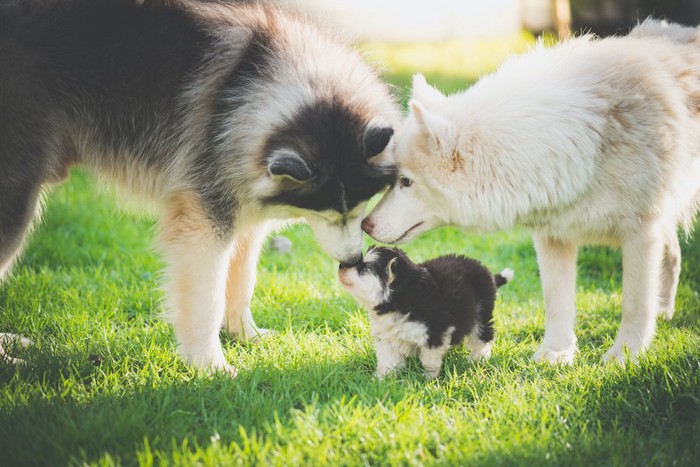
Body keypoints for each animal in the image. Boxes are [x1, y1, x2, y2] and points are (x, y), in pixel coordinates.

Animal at [0, 0, 400, 372]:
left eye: (360, 208)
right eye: (326, 213)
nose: (352, 261)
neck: (247, 88)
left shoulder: (244, 204)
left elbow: (242, 280)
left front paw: (246, 335)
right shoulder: (204, 214)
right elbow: (206, 298)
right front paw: (209, 365)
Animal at [336, 247, 512, 378]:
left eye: (363, 268)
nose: (340, 266)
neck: (399, 297)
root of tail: (489, 274)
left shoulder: (435, 332)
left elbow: (429, 359)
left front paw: (428, 378)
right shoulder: (387, 337)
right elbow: (387, 360)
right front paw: (382, 379)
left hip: (481, 313)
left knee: (482, 337)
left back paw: (477, 359)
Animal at [360, 19, 700, 366]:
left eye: (406, 181)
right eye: (395, 178)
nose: (365, 225)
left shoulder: (640, 235)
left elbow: (633, 303)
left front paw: (624, 357)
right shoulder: (554, 237)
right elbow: (556, 302)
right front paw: (555, 355)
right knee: (672, 252)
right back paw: (663, 313)